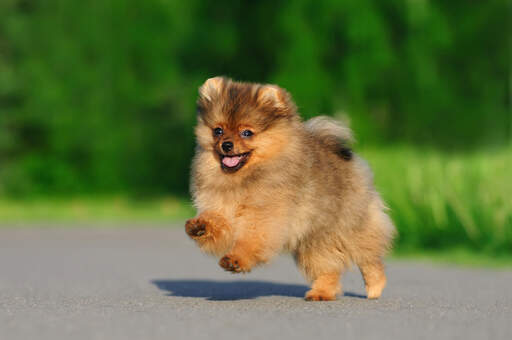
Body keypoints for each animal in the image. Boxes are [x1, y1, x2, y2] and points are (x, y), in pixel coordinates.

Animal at [185, 77, 396, 300]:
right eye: (218, 130)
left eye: (246, 133)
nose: (226, 145)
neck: (241, 179)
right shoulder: (222, 209)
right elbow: (217, 223)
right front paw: (200, 226)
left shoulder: (264, 218)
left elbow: (250, 241)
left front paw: (236, 260)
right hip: (314, 241)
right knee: (328, 268)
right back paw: (321, 292)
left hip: (350, 227)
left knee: (370, 257)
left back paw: (375, 286)